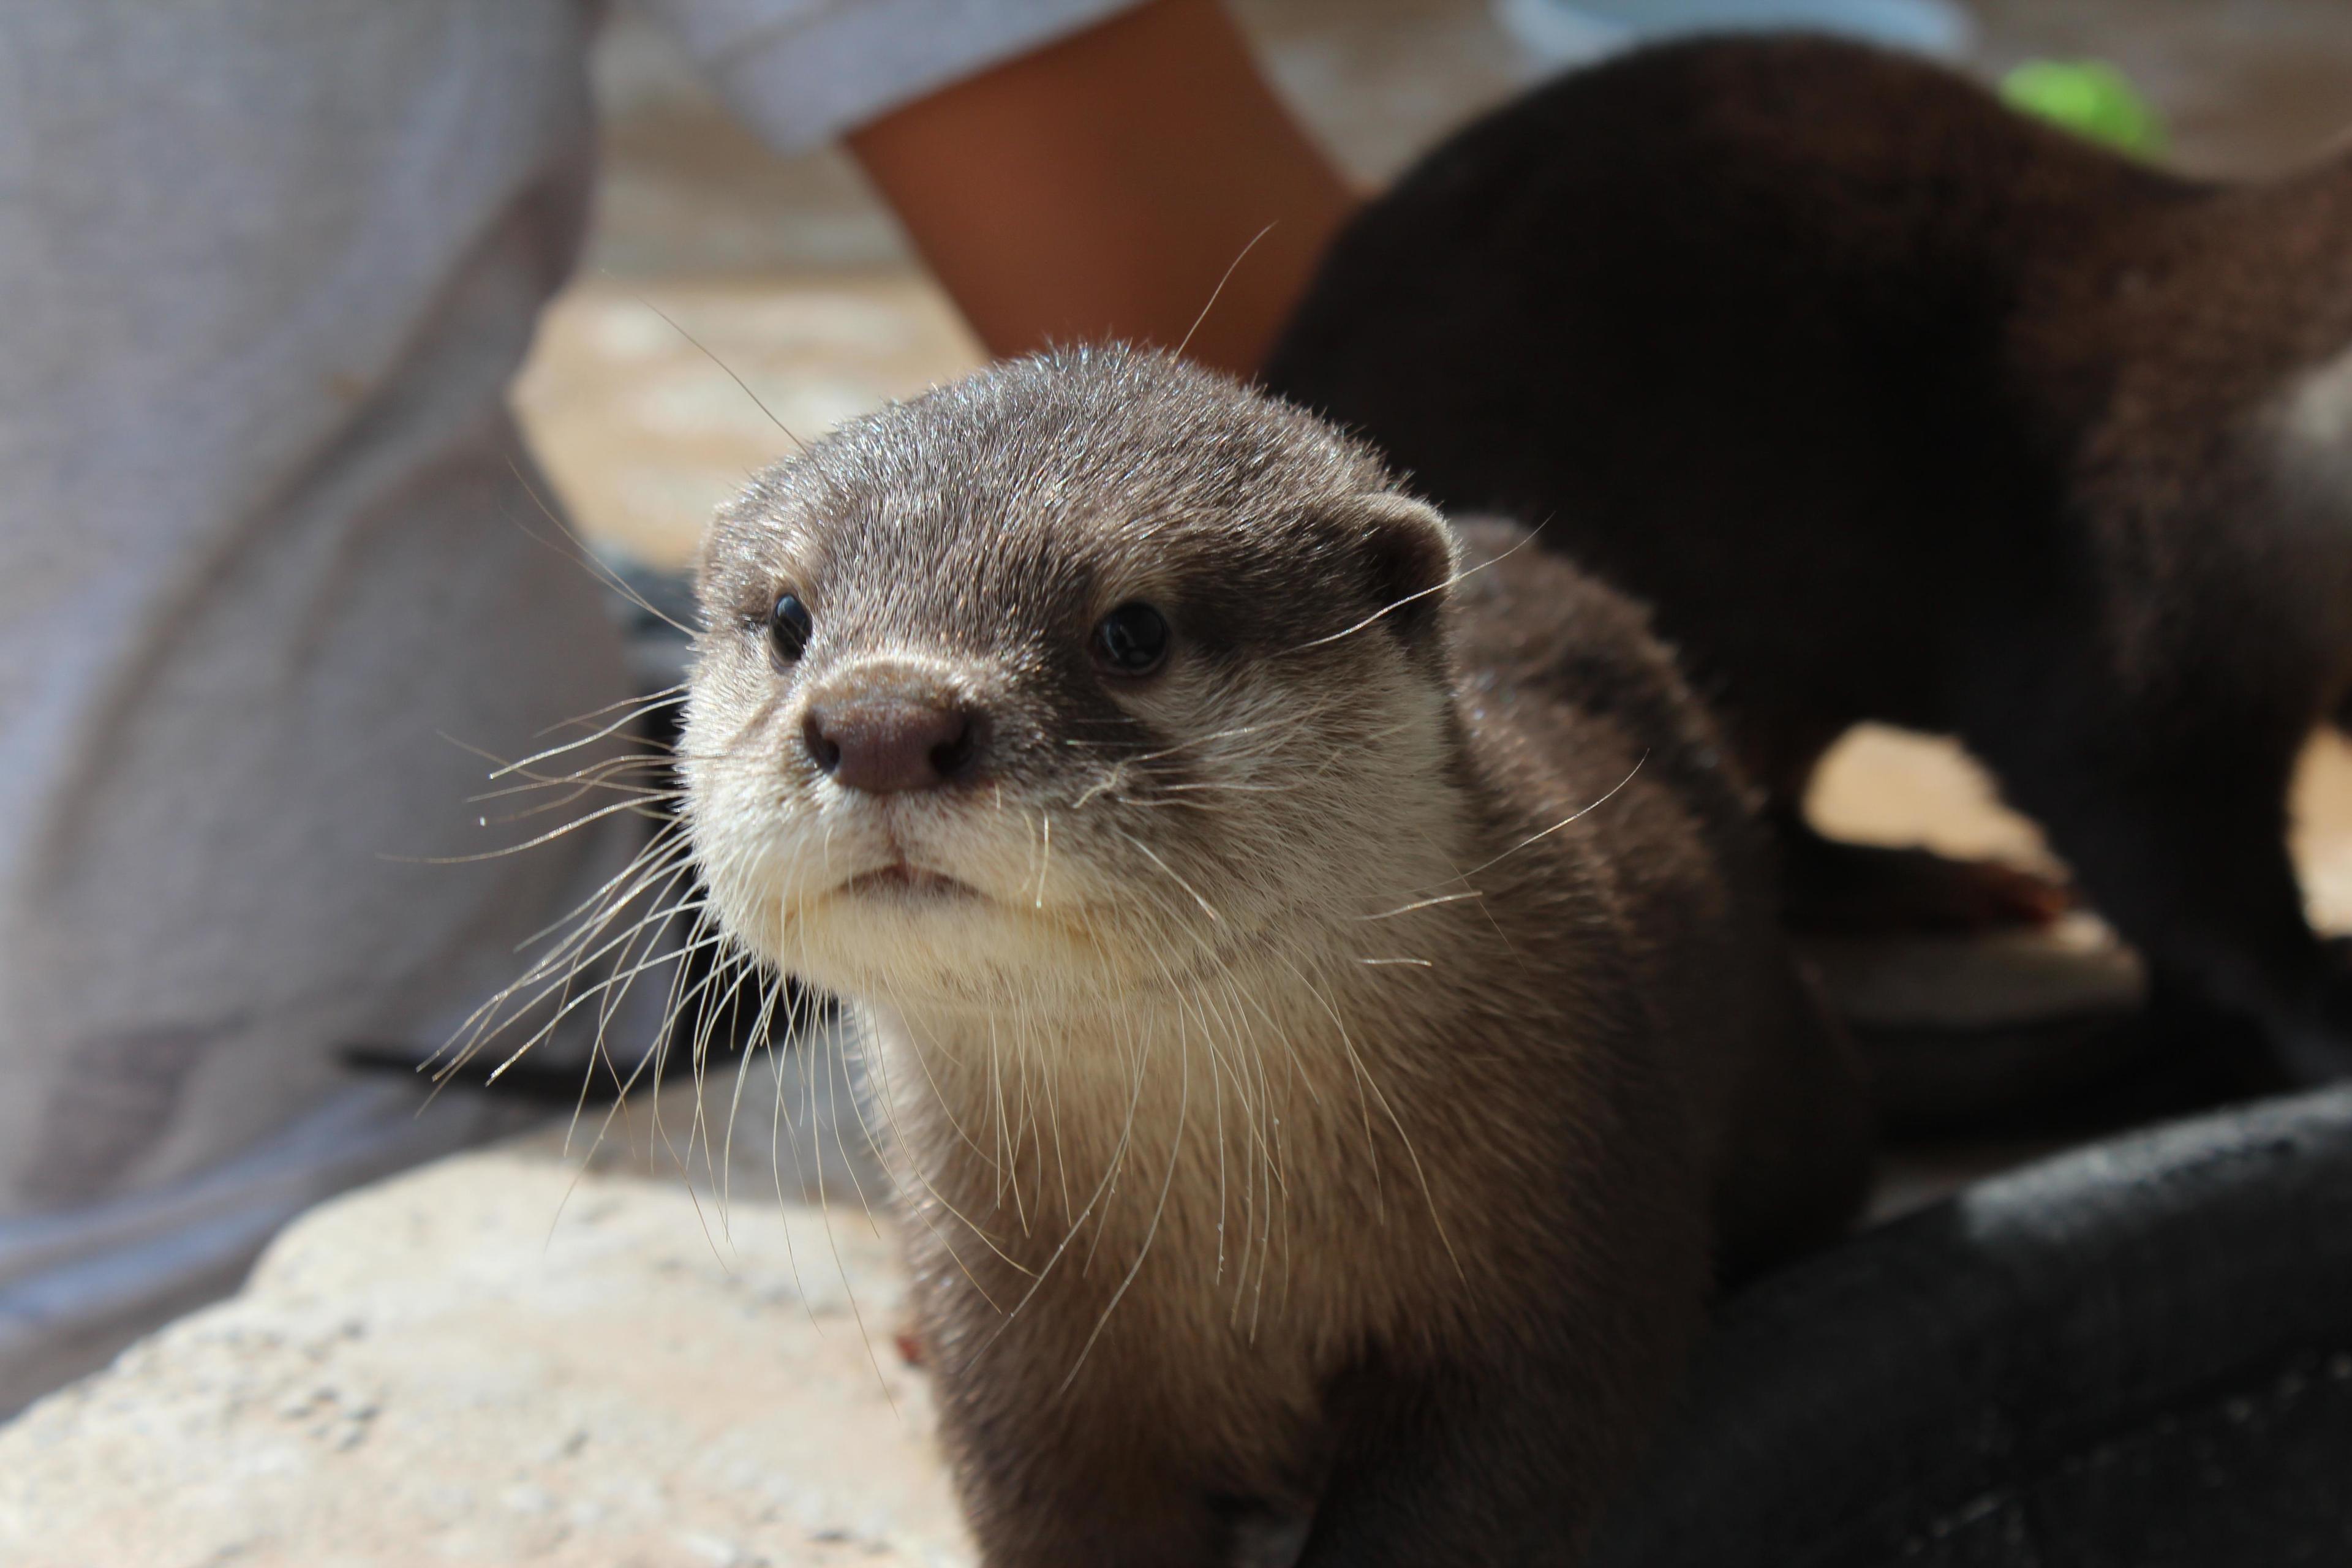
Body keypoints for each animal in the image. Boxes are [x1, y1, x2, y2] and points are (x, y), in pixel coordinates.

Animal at [687, 350, 1872, 1561]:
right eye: (789, 619)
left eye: (1133, 631)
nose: (883, 720)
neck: (1234, 1247)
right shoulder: (1001, 1339)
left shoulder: (1574, 1257)